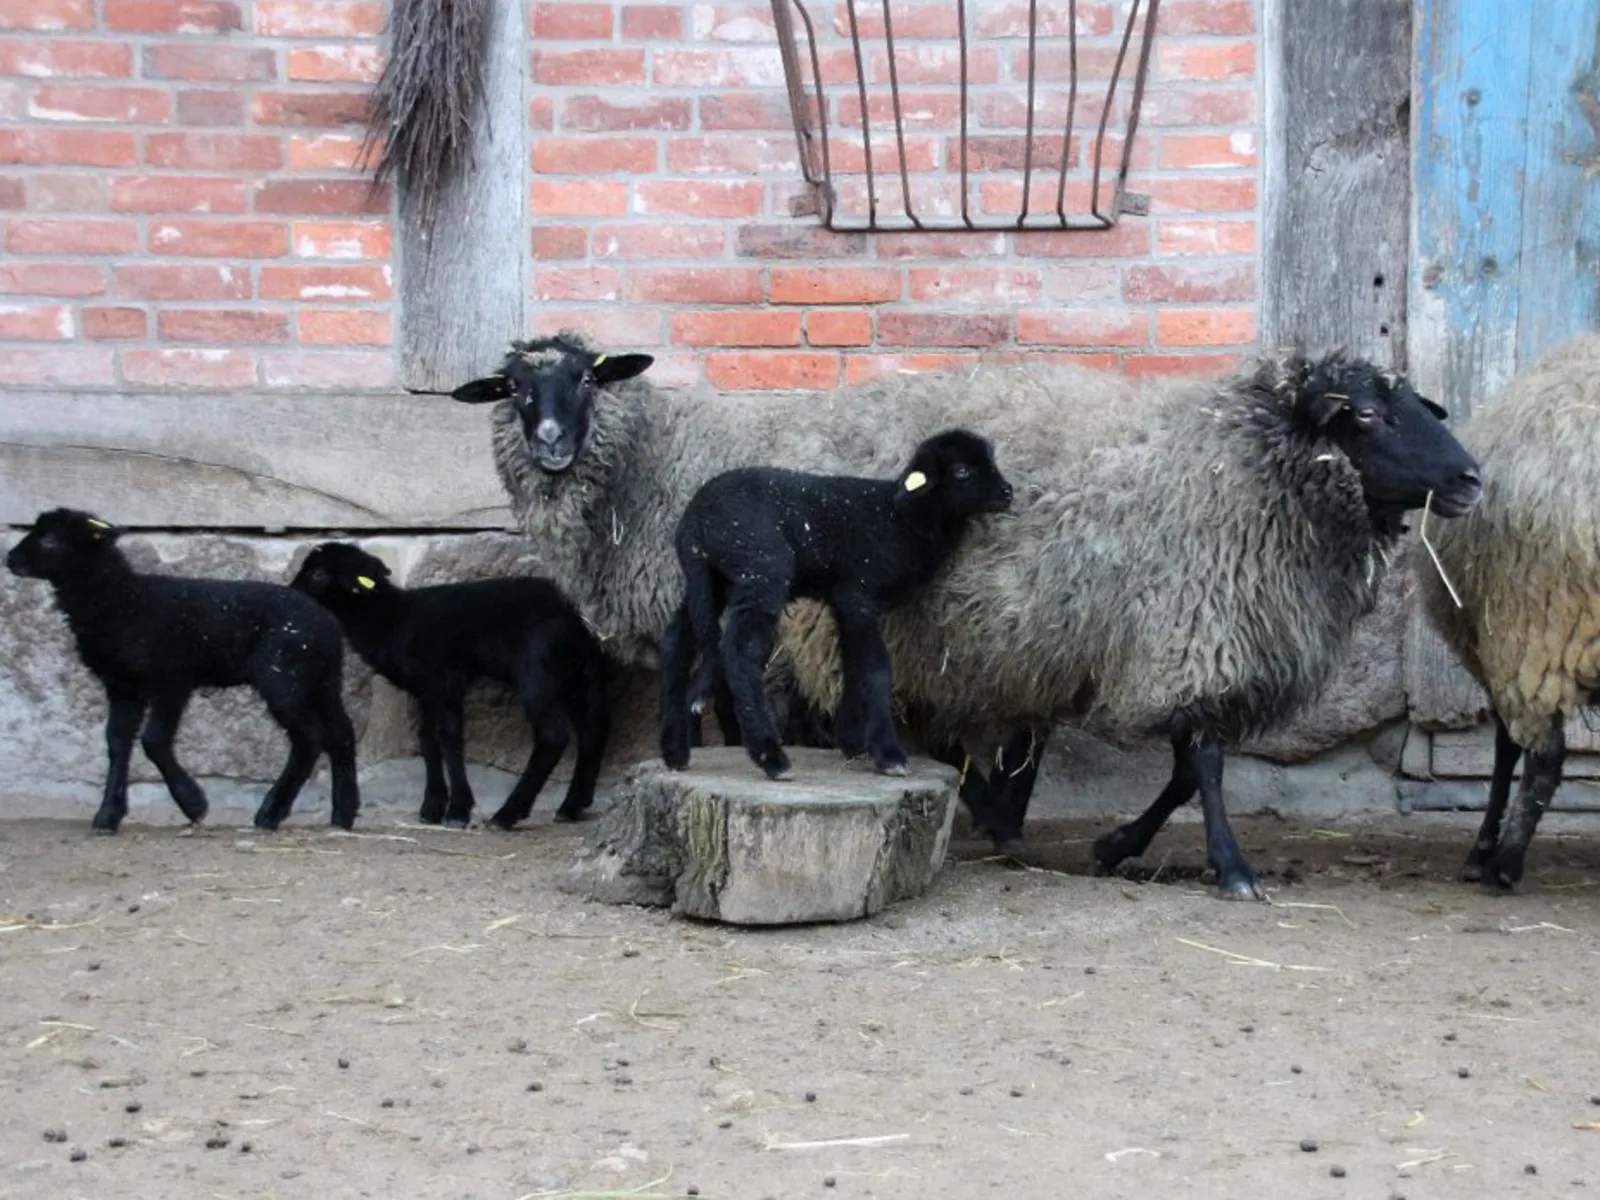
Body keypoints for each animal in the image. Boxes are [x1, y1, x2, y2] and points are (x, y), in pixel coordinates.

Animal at [6, 508, 360, 834]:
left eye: (51, 540)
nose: (9, 558)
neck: (121, 599)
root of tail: (327, 624)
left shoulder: (171, 679)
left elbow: (153, 740)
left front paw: (193, 804)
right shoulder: (123, 686)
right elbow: (117, 742)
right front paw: (108, 816)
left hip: (282, 678)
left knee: (309, 737)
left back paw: (270, 814)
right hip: (321, 679)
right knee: (340, 732)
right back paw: (343, 814)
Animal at [290, 541, 610, 830]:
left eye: (318, 574)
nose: (290, 594)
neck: (391, 619)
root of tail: (583, 617)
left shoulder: (447, 680)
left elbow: (449, 738)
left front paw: (457, 810)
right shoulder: (426, 690)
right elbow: (427, 740)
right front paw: (432, 807)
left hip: (540, 671)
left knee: (553, 736)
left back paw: (507, 815)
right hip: (581, 672)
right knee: (593, 730)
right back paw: (571, 806)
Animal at [659, 429, 1014, 780]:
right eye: (961, 471)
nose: (1008, 493)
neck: (902, 520)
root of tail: (695, 521)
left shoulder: (844, 599)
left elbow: (853, 664)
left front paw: (853, 740)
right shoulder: (859, 593)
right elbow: (876, 668)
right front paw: (889, 755)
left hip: (713, 581)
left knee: (677, 641)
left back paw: (675, 752)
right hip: (761, 568)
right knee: (739, 651)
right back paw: (771, 758)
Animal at [774, 352, 1484, 898]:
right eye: (1365, 414)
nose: (1471, 479)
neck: (1248, 464)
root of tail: (813, 421)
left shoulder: (1206, 653)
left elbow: (1184, 774)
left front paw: (1117, 845)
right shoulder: (1196, 638)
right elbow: (1206, 767)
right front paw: (1232, 869)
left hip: (946, 647)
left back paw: (1001, 821)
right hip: (874, 630)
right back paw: (985, 813)